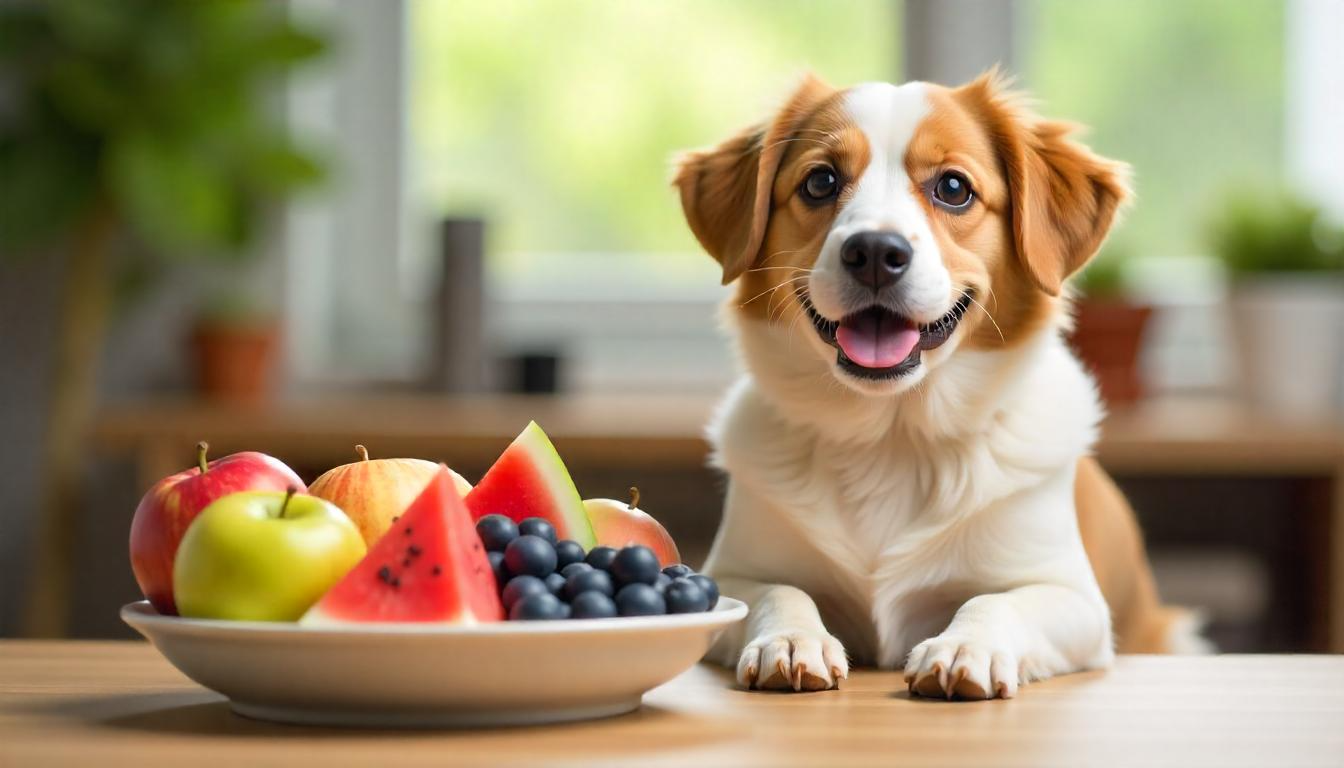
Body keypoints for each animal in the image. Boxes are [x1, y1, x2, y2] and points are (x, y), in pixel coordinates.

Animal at [672, 73, 1209, 704]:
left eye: (954, 187)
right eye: (820, 181)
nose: (875, 252)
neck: (892, 437)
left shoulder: (1074, 599)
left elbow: (994, 601)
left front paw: (964, 647)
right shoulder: (733, 574)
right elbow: (781, 591)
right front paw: (792, 639)